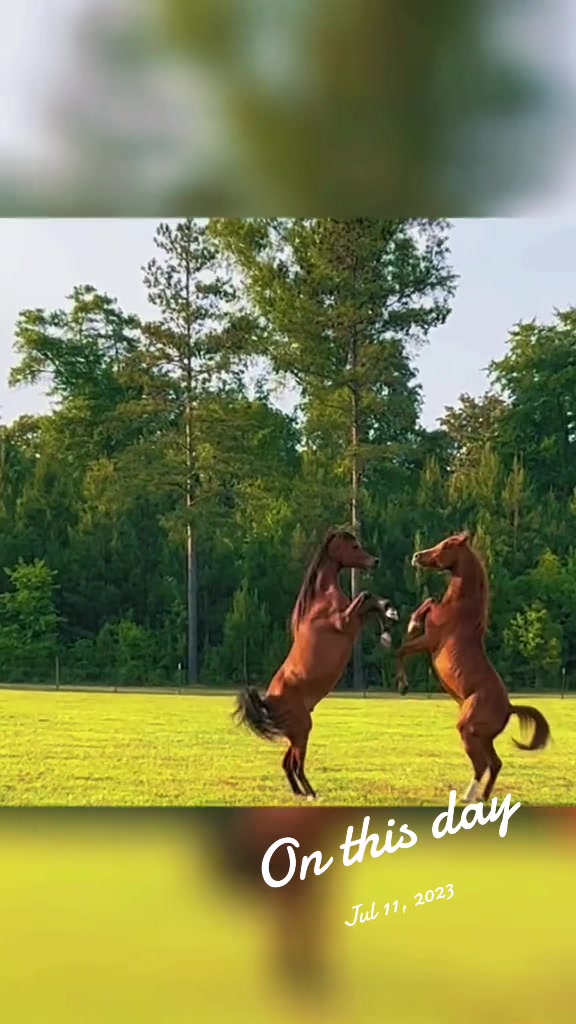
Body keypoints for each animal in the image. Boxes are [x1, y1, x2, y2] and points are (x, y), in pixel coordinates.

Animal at [234, 528, 398, 799]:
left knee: (287, 764)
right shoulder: (345, 621)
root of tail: (267, 702)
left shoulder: (355, 621)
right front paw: (388, 620)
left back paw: (299, 793)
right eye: (354, 546)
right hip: (302, 730)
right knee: (297, 765)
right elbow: (365, 596)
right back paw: (311, 793)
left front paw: (389, 616)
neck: (323, 599)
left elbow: (370, 602)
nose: (374, 561)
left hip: (295, 735)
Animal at [396, 530, 550, 803]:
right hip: (483, 737)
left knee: (482, 765)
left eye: (446, 545)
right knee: (495, 763)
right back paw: (482, 798)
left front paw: (403, 682)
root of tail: (509, 707)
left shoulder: (429, 641)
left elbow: (403, 646)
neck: (460, 610)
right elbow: (426, 604)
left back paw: (468, 797)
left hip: (468, 731)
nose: (417, 556)